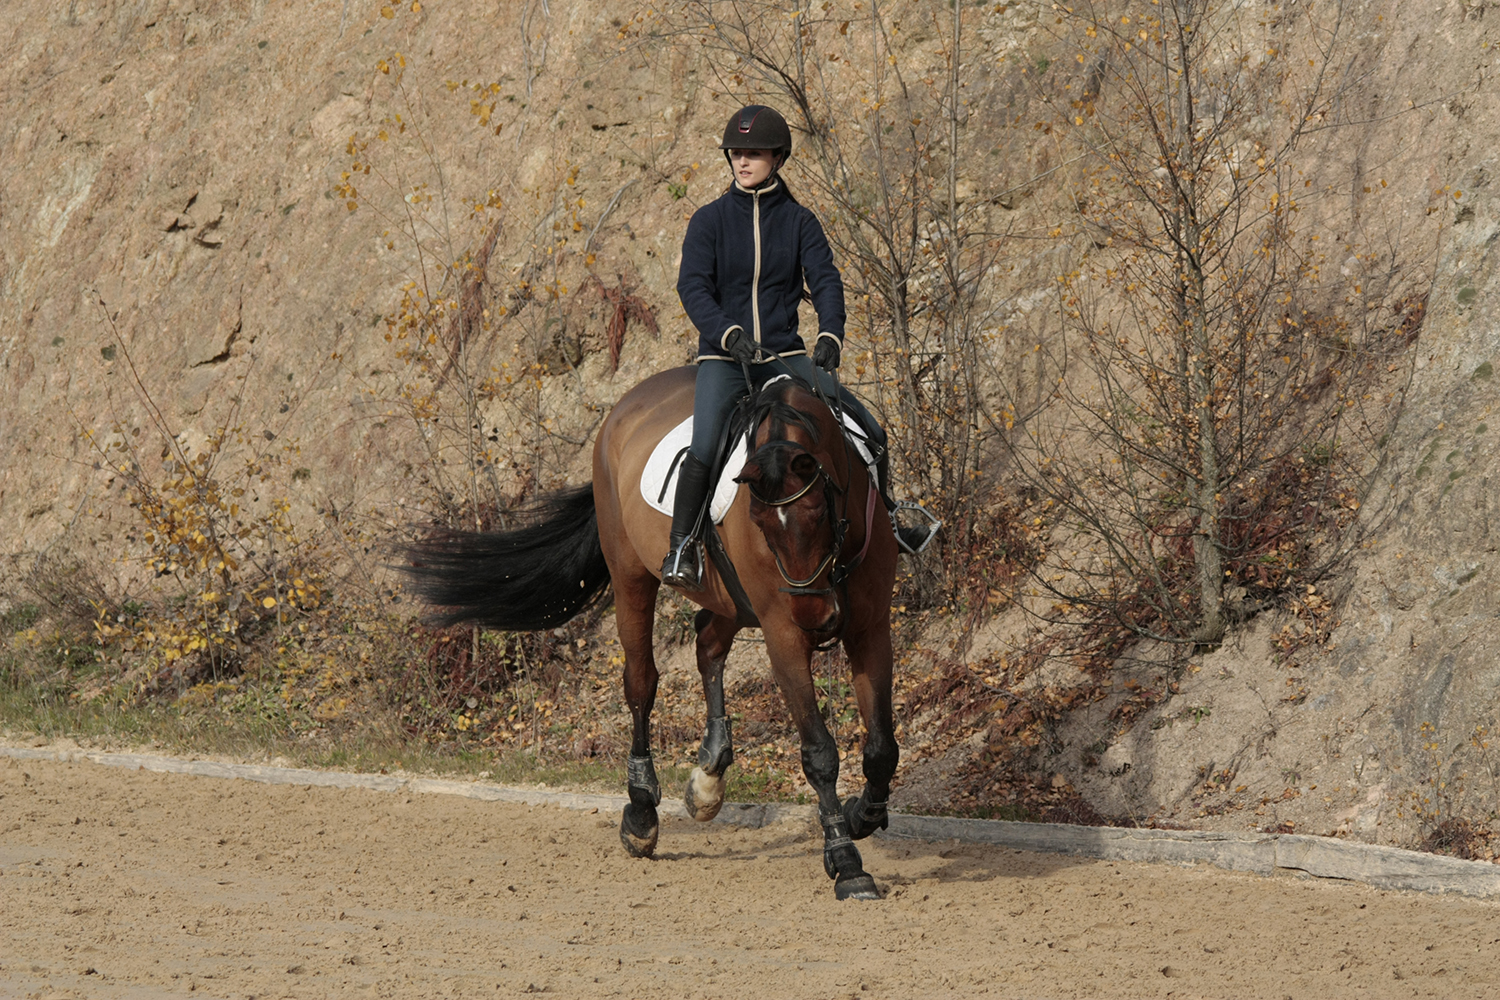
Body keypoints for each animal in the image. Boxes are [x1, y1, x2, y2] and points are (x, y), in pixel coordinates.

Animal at [405, 365, 894, 899]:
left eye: (819, 511)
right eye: (760, 523)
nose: (816, 619)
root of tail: (626, 403)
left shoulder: (871, 628)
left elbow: (882, 748)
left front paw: (862, 815)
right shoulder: (782, 637)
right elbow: (819, 753)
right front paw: (846, 862)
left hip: (732, 600)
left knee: (706, 641)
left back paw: (708, 775)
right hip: (632, 576)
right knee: (642, 681)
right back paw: (641, 813)